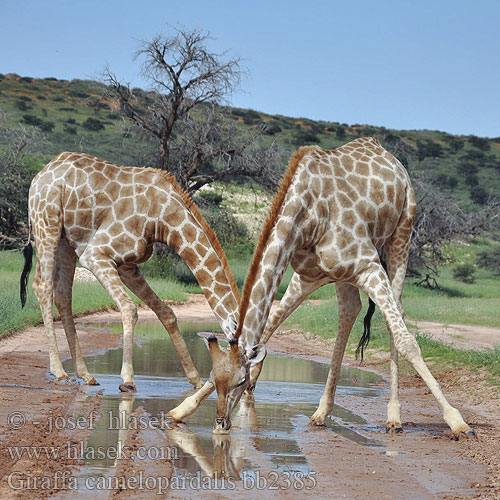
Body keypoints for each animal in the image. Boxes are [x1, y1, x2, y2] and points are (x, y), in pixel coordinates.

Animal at [22, 150, 241, 392]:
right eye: (246, 354)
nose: (248, 385)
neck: (163, 218)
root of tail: (40, 175)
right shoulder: (96, 253)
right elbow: (129, 308)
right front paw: (127, 379)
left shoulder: (127, 264)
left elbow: (167, 313)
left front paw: (195, 379)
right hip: (46, 223)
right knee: (42, 286)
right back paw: (60, 372)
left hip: (66, 240)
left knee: (62, 294)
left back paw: (86, 374)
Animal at [169, 137, 476, 438]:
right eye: (216, 378)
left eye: (241, 381)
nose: (220, 425)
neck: (308, 216)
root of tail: (386, 153)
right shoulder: (307, 276)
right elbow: (268, 327)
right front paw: (182, 409)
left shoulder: (369, 266)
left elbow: (407, 342)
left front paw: (458, 422)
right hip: (341, 275)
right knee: (350, 311)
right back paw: (321, 412)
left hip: (402, 229)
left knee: (396, 312)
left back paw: (394, 417)